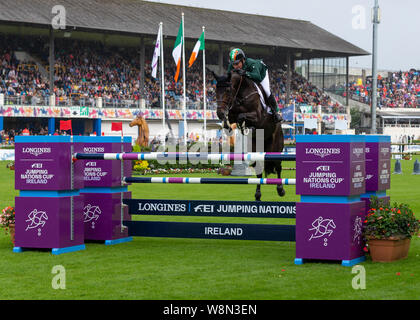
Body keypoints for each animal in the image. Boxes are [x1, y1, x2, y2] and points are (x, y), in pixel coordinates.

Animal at [213, 69, 286, 200]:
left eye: (227, 90)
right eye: (216, 90)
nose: (219, 112)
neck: (241, 94)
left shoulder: (257, 116)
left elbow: (241, 116)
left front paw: (245, 127)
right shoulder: (232, 113)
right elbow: (230, 119)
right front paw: (228, 124)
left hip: (276, 148)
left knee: (278, 167)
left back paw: (280, 190)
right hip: (257, 150)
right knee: (259, 170)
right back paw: (257, 194)